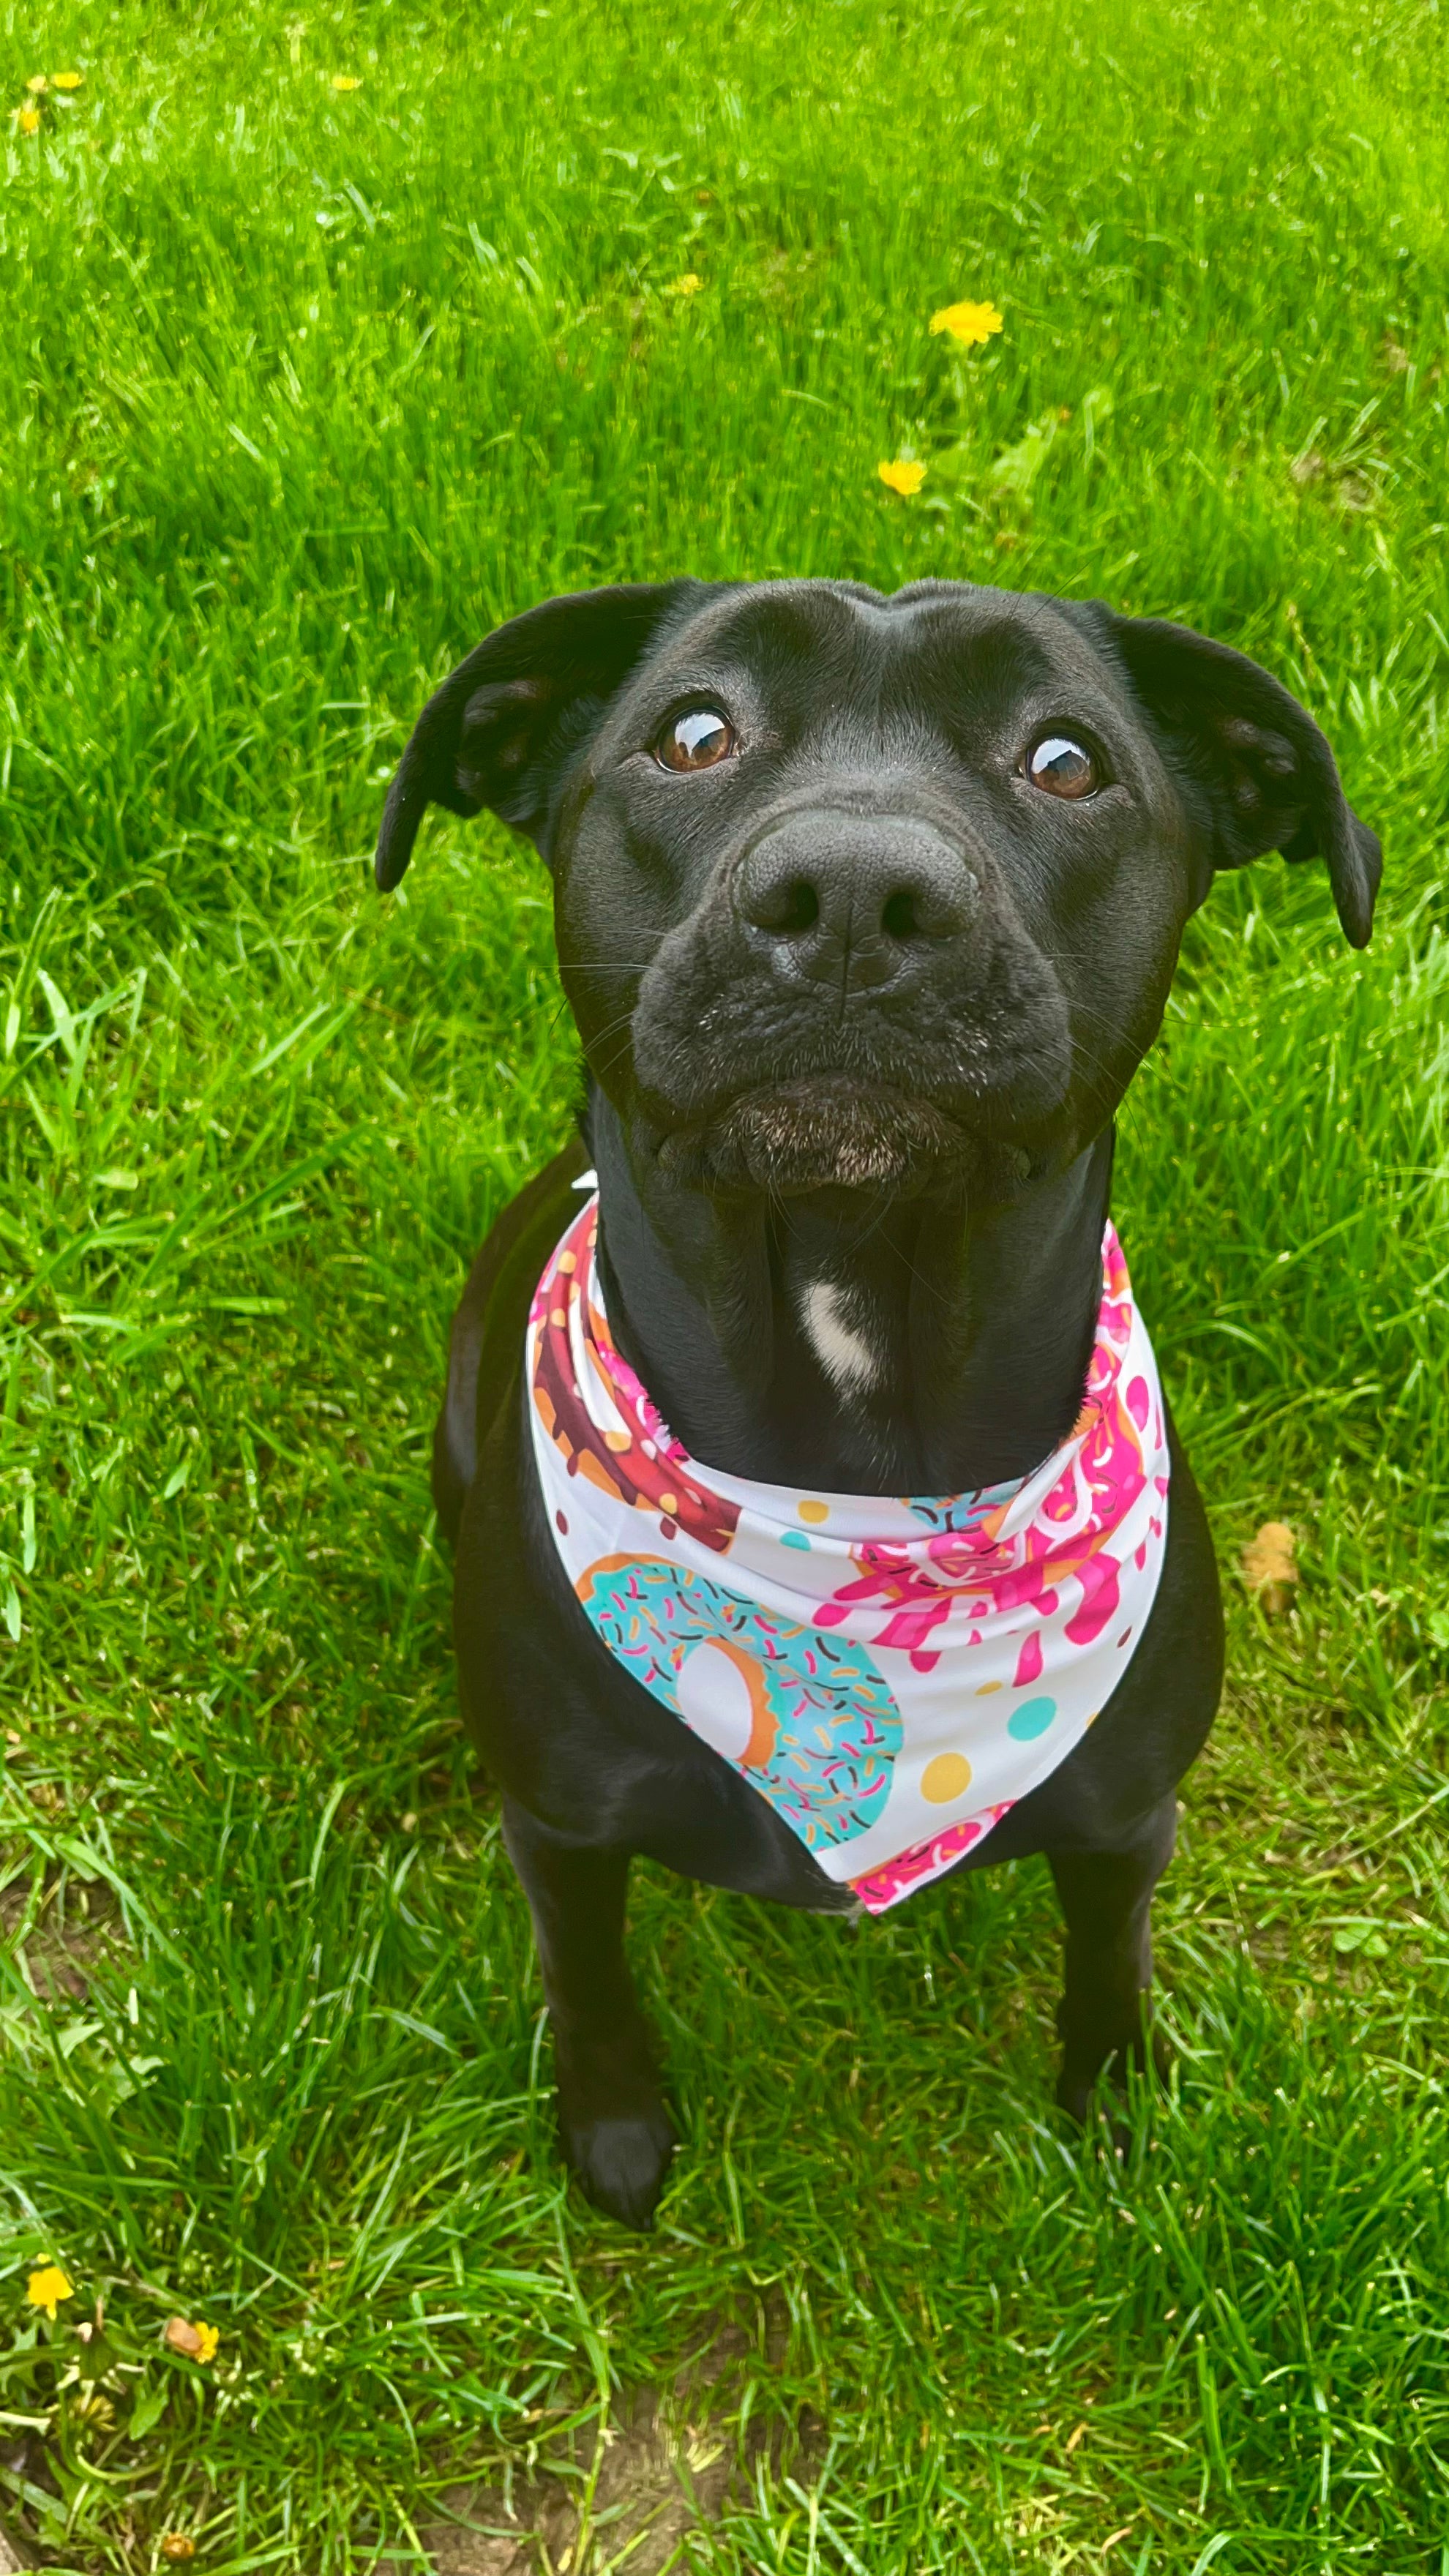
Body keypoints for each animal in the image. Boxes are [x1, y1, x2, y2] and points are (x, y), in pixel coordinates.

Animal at [371, 574, 1371, 2225]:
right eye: (693, 733)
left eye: (1067, 759)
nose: (851, 894)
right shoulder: (566, 1830)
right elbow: (588, 1980)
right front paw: (616, 2128)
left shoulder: (1126, 1820)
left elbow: (1110, 1964)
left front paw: (1113, 2108)